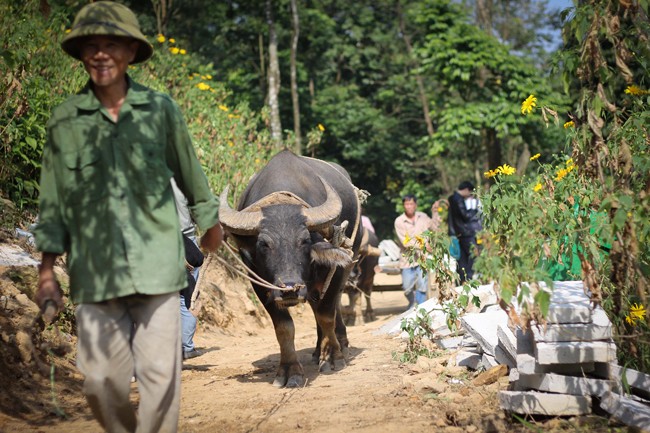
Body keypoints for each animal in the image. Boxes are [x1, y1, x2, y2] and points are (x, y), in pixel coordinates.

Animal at [216, 149, 360, 388]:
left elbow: (327, 315)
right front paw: (290, 371)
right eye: (264, 244)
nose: (290, 288)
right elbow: (284, 327)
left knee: (333, 305)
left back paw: (339, 344)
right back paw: (317, 351)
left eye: (304, 241)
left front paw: (333, 358)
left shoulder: (335, 270)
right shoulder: (261, 284)